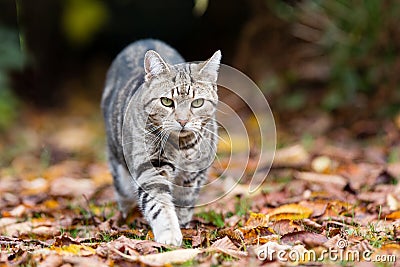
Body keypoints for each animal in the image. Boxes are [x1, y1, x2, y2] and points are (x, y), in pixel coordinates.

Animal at [99, 38, 219, 246]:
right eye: (166, 102)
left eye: (197, 103)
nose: (182, 121)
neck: (182, 146)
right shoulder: (151, 167)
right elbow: (159, 204)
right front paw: (170, 233)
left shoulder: (195, 174)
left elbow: (185, 202)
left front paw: (183, 225)